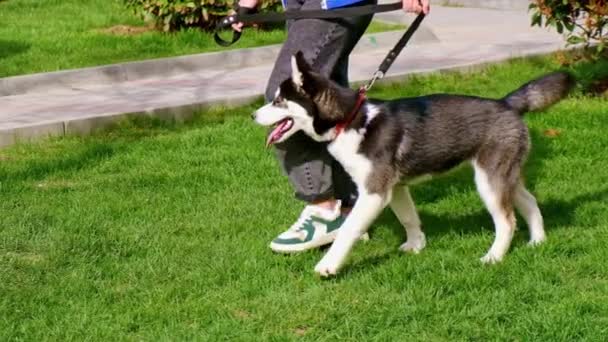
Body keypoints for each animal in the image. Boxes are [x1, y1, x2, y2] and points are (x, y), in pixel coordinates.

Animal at [253, 52, 576, 276]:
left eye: (280, 101)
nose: (253, 115)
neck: (350, 121)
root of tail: (506, 103)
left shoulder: (374, 192)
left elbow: (347, 230)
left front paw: (328, 265)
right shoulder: (395, 188)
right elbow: (408, 218)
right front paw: (416, 246)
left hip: (489, 181)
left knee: (507, 221)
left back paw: (493, 257)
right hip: (504, 175)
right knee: (530, 201)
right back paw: (537, 242)